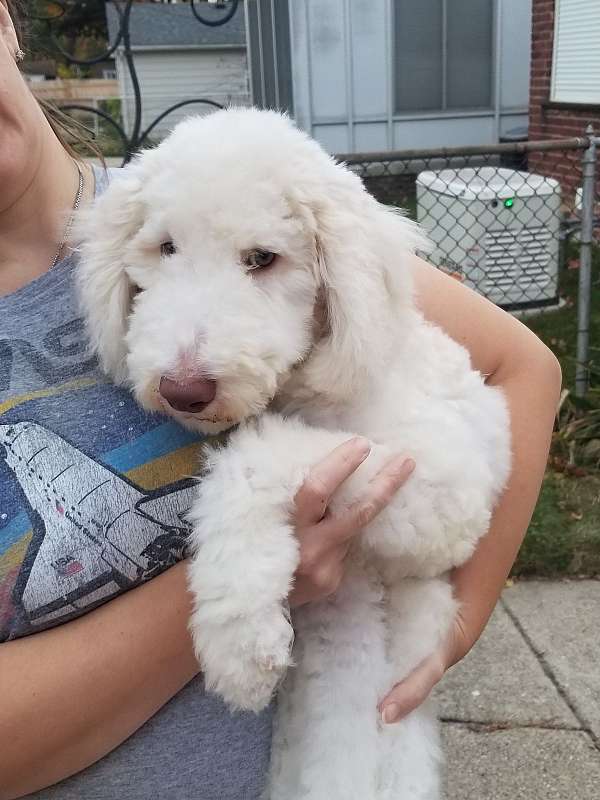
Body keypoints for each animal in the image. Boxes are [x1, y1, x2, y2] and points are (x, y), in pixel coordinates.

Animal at [76, 108, 510, 800]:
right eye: (165, 248)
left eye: (263, 259)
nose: (183, 390)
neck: (310, 386)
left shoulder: (447, 495)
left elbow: (259, 456)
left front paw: (237, 638)